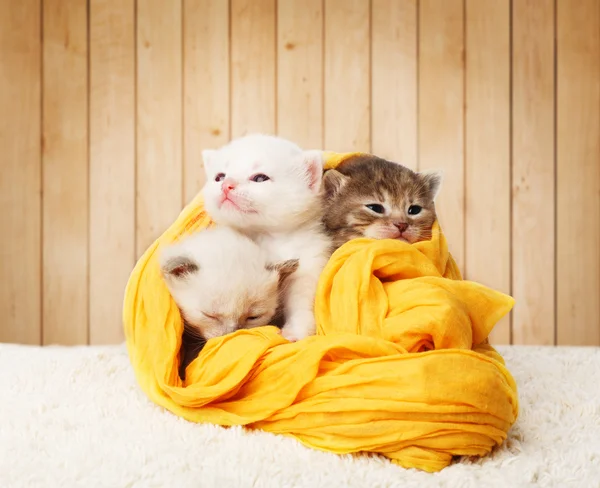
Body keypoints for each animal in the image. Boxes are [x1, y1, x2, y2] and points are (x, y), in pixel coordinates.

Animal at [203, 132, 332, 342]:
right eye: (219, 177)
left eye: (260, 178)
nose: (226, 185)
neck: (263, 235)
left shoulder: (310, 261)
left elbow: (301, 299)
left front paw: (295, 332)